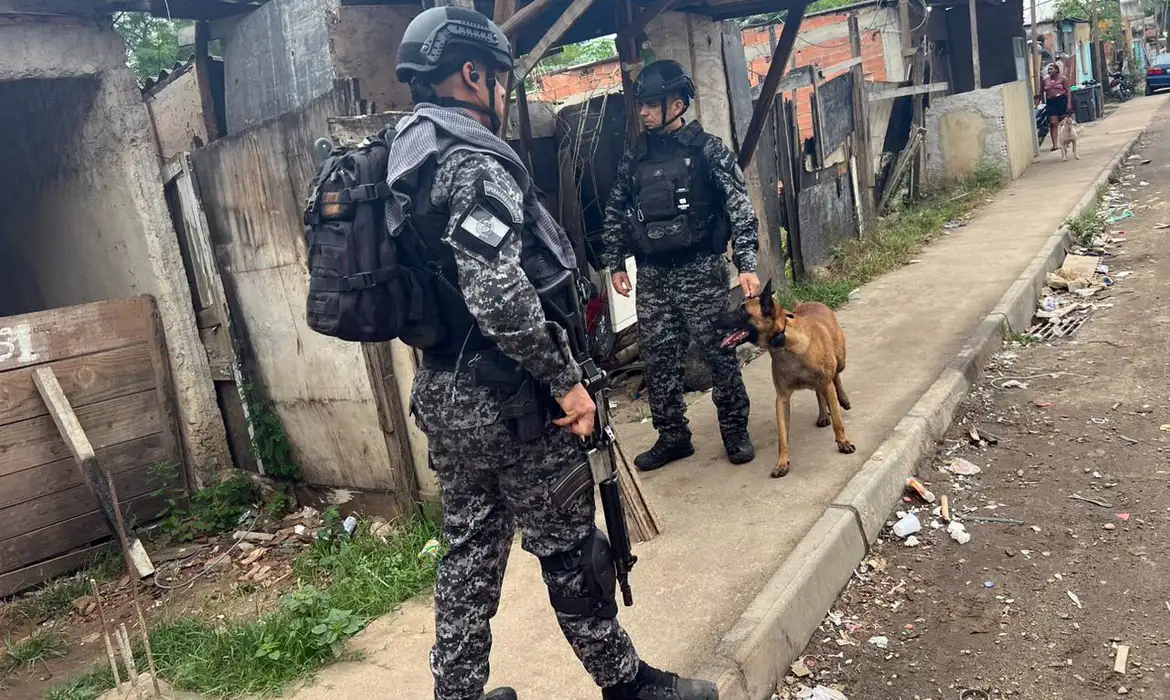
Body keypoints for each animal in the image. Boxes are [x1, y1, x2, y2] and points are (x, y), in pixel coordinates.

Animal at [716, 282, 856, 479]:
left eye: (742, 311)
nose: (715, 319)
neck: (784, 343)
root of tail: (812, 303)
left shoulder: (827, 383)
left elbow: (837, 420)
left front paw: (843, 441)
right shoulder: (782, 399)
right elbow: (782, 435)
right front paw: (782, 462)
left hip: (840, 360)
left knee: (836, 376)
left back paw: (843, 399)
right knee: (818, 392)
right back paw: (822, 414)